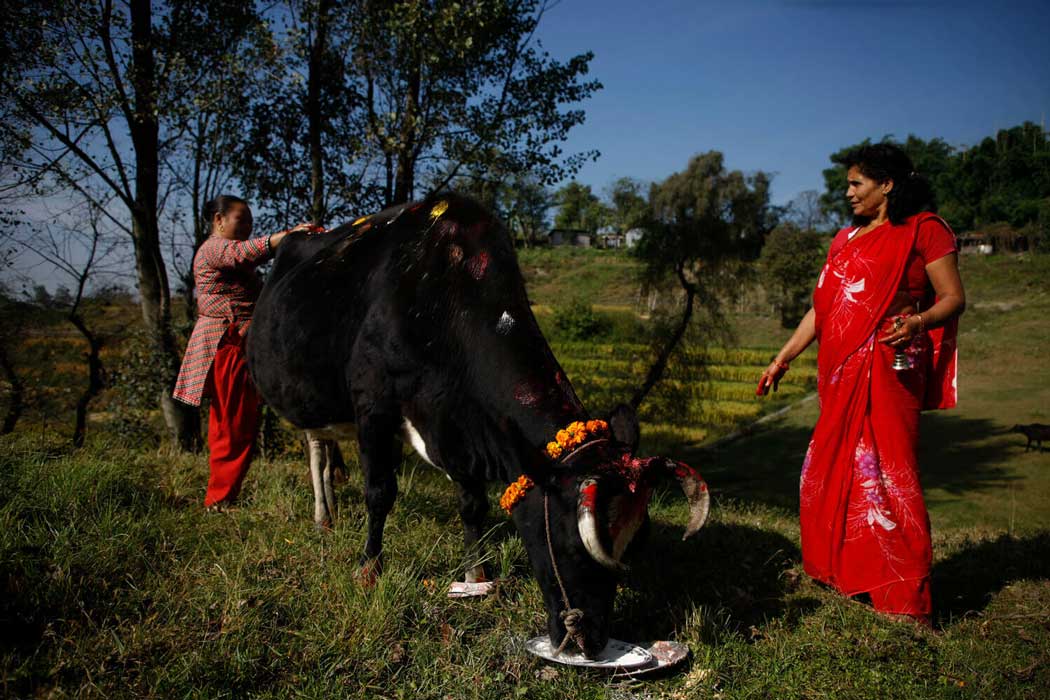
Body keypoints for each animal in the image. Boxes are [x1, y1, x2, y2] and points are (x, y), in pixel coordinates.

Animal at [245, 193, 709, 659]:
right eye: (571, 545)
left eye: (637, 538)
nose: (590, 641)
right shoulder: (372, 403)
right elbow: (379, 492)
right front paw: (368, 570)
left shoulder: (461, 427)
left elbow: (472, 504)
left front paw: (477, 575)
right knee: (315, 450)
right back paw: (322, 516)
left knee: (322, 448)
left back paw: (328, 514)